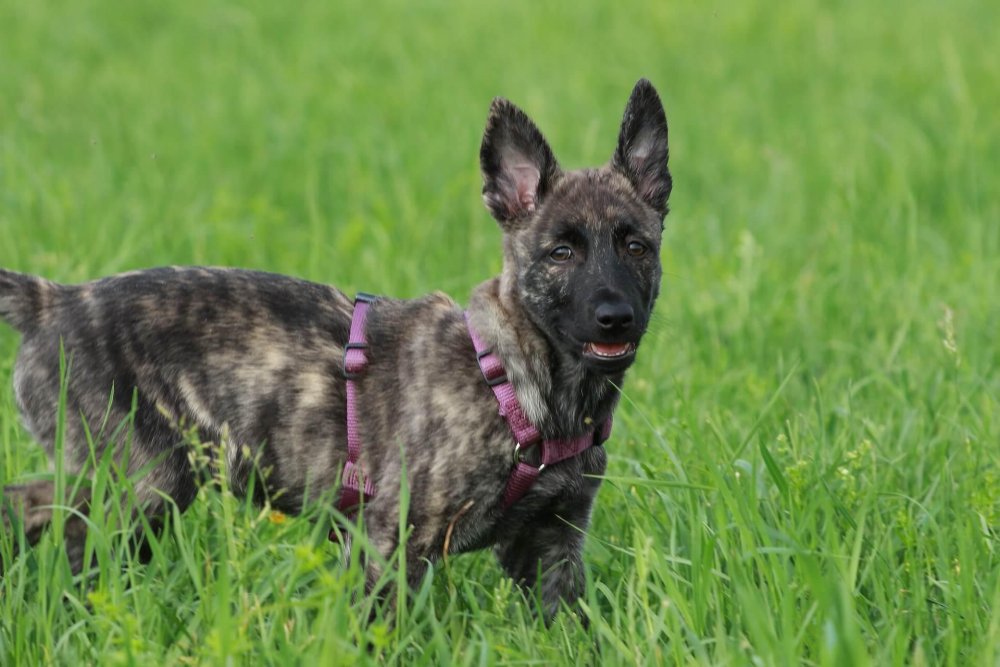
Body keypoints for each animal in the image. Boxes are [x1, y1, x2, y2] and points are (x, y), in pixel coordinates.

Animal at [3, 79, 672, 620]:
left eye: (636, 246)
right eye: (561, 252)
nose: (616, 318)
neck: (518, 380)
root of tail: (53, 300)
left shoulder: (553, 545)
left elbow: (570, 628)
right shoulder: (391, 537)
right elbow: (380, 630)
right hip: (137, 481)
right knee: (59, 531)